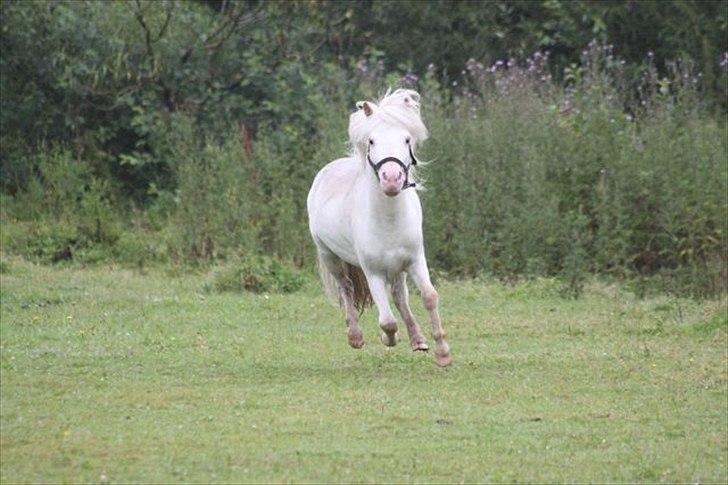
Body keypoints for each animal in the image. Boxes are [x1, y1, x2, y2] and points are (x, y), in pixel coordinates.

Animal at [306, 89, 450, 364]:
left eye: (407, 140)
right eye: (371, 141)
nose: (391, 179)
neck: (388, 219)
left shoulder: (415, 260)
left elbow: (429, 296)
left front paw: (442, 352)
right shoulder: (373, 271)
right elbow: (387, 321)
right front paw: (388, 339)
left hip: (398, 268)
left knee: (400, 296)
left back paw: (418, 339)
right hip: (329, 256)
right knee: (347, 288)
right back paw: (355, 337)